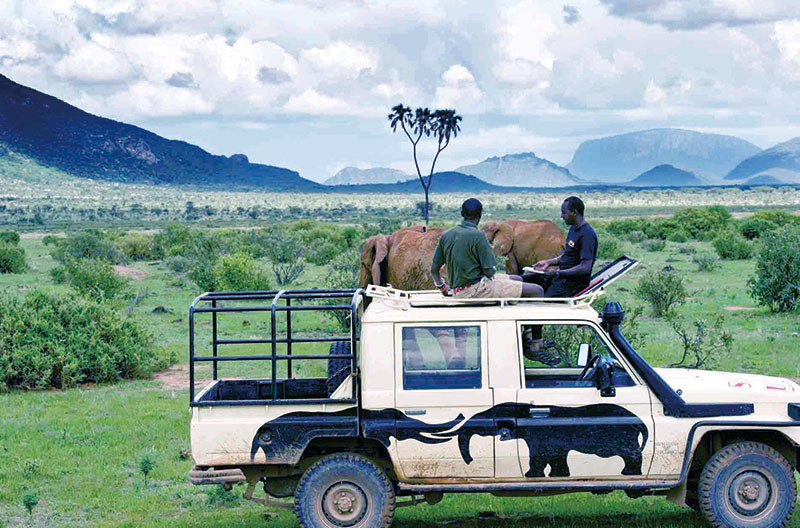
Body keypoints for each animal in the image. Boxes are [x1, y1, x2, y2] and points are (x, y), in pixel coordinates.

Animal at [432, 404, 648, 478]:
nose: (470, 461)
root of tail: (640, 422)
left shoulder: (541, 434)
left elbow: (540, 455)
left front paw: (531, 475)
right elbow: (555, 455)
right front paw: (556, 476)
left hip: (623, 436)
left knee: (630, 452)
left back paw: (630, 473)